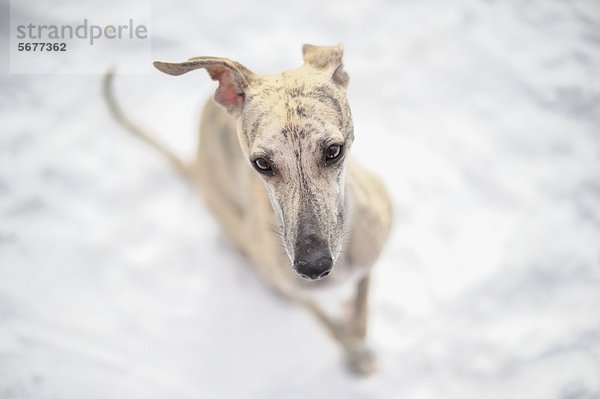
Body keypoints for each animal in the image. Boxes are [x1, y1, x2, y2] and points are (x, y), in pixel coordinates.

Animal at [104, 43, 394, 376]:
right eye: (262, 164)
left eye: (334, 150)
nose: (313, 267)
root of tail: (196, 165)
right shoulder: (296, 291)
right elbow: (330, 326)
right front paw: (355, 353)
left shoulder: (368, 261)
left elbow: (361, 312)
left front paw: (357, 335)